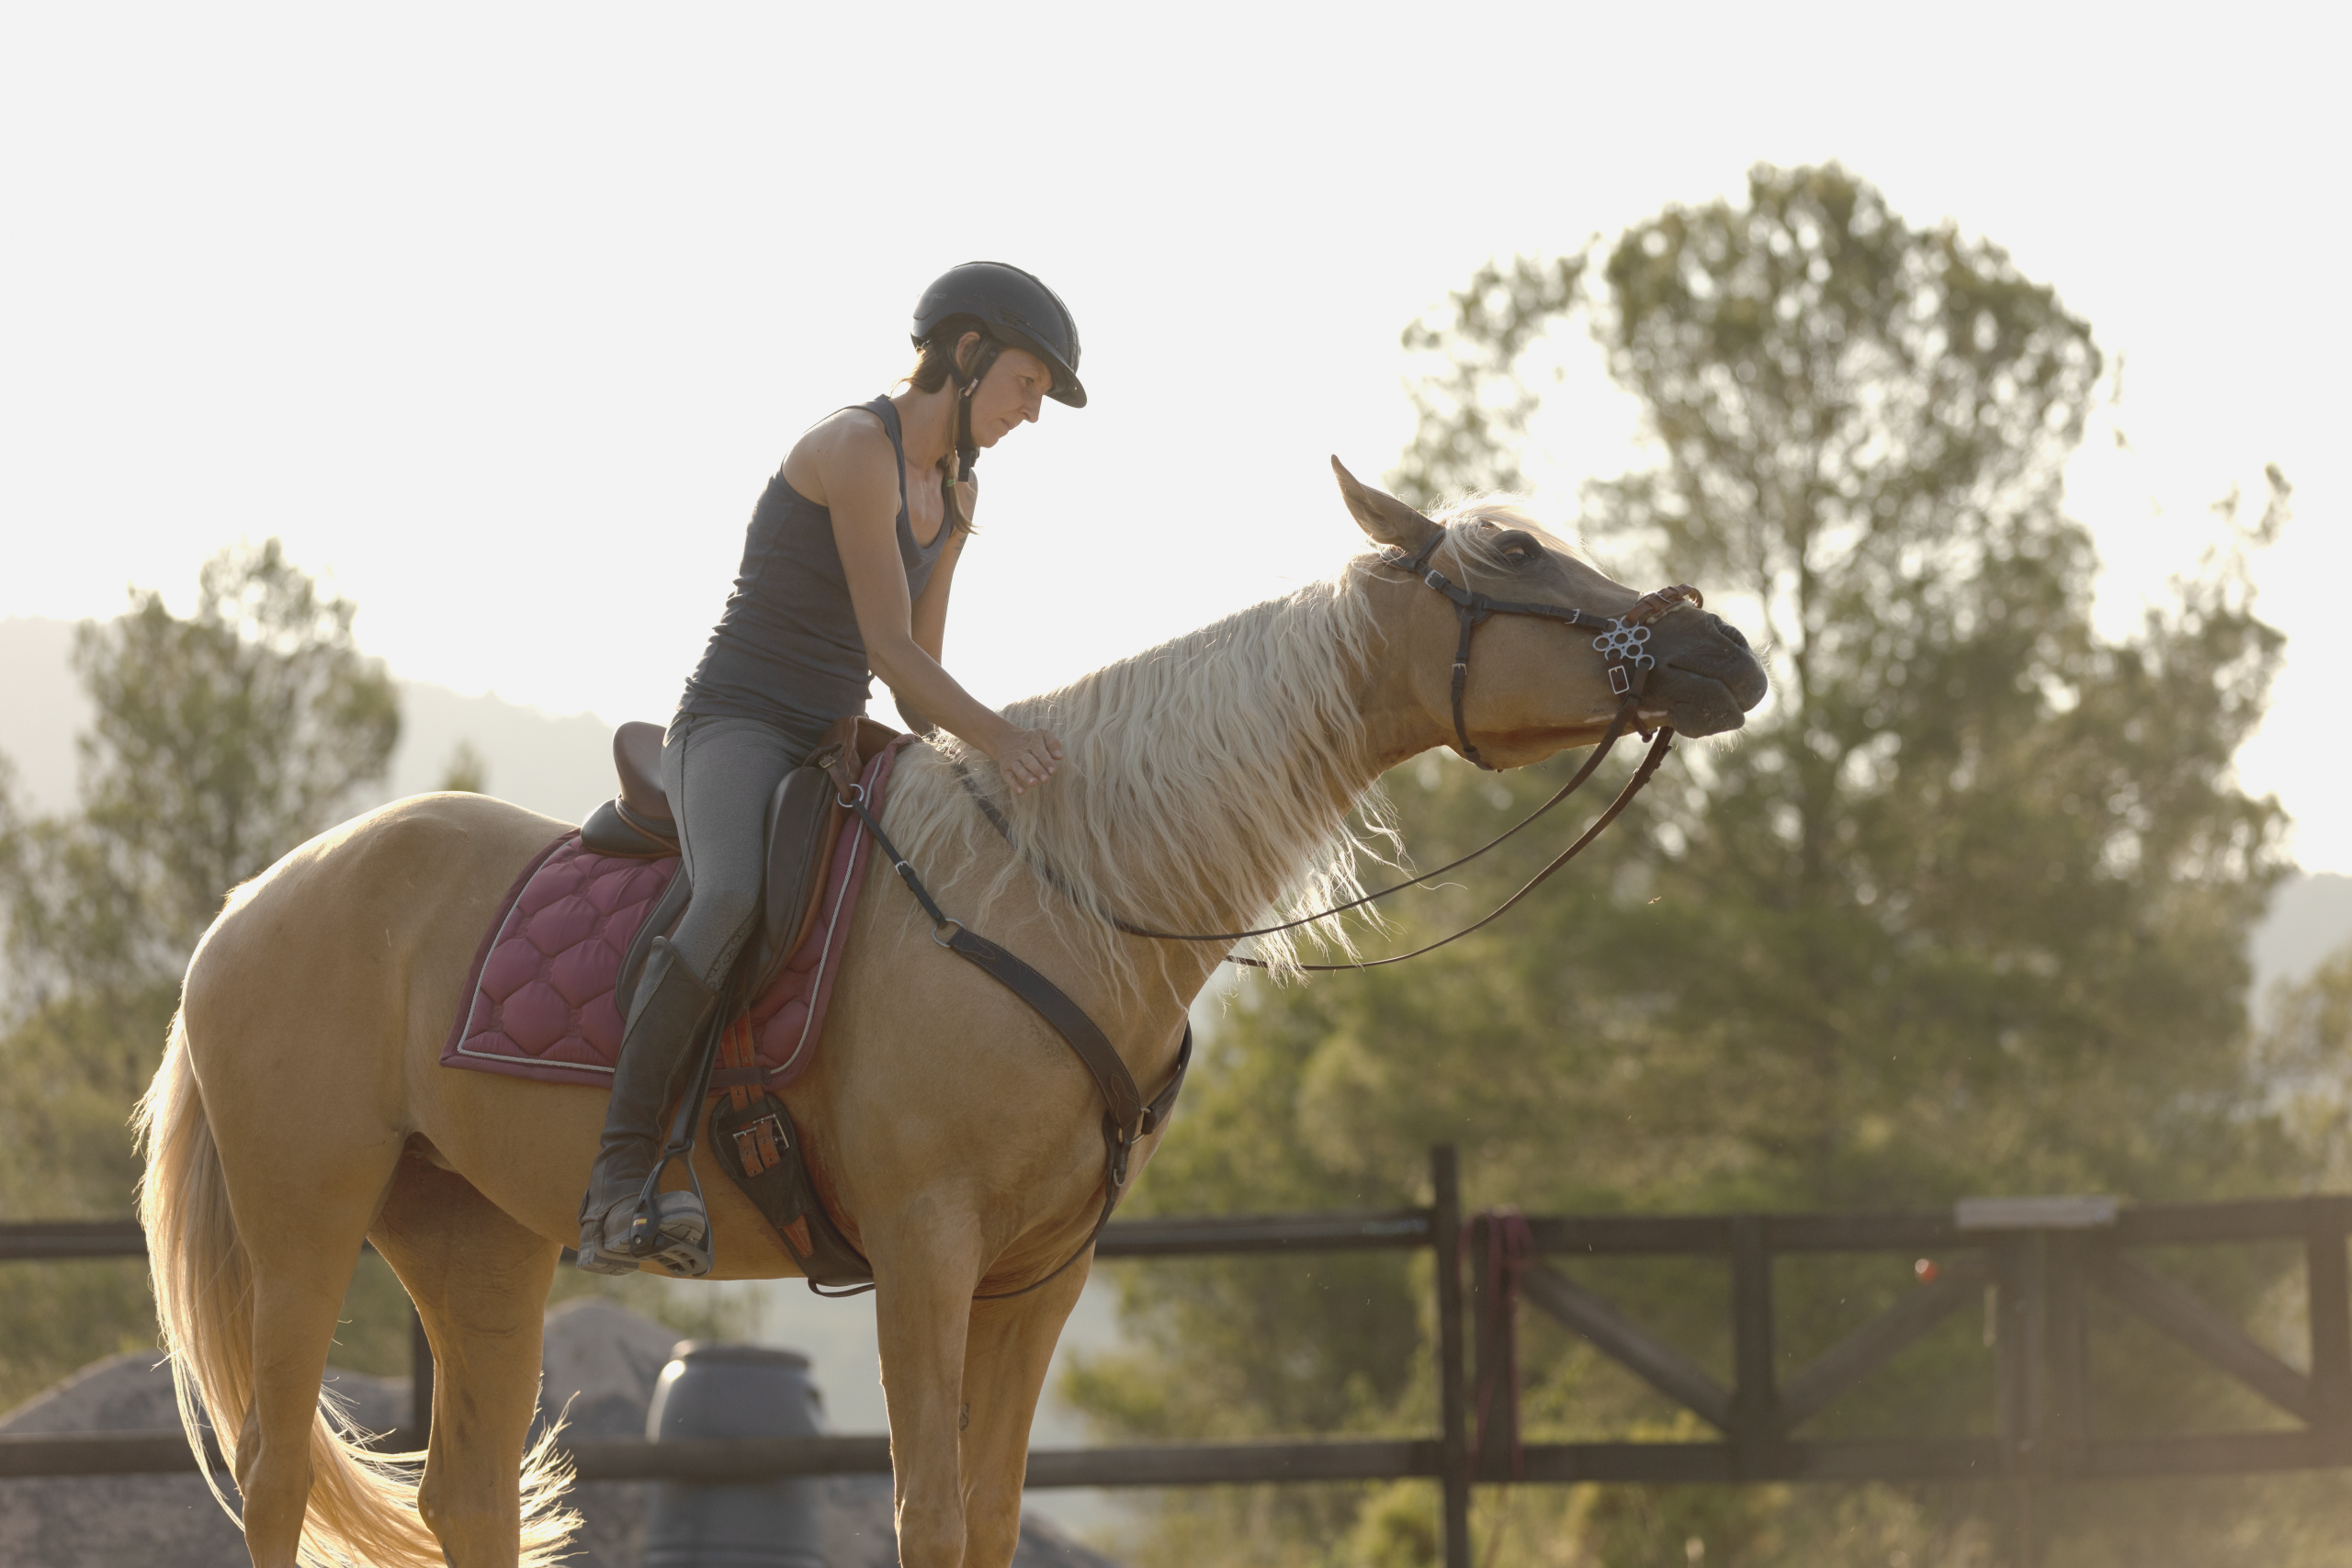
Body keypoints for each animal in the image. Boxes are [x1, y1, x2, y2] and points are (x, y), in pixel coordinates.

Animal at [134, 462, 1767, 1568]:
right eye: (1517, 551)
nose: (1724, 652)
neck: (1066, 882)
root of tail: (248, 905)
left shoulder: (1036, 1274)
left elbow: (984, 1512)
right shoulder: (926, 1249)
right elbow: (926, 1511)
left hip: (474, 1236)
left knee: (463, 1490)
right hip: (306, 1214)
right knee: (276, 1472)